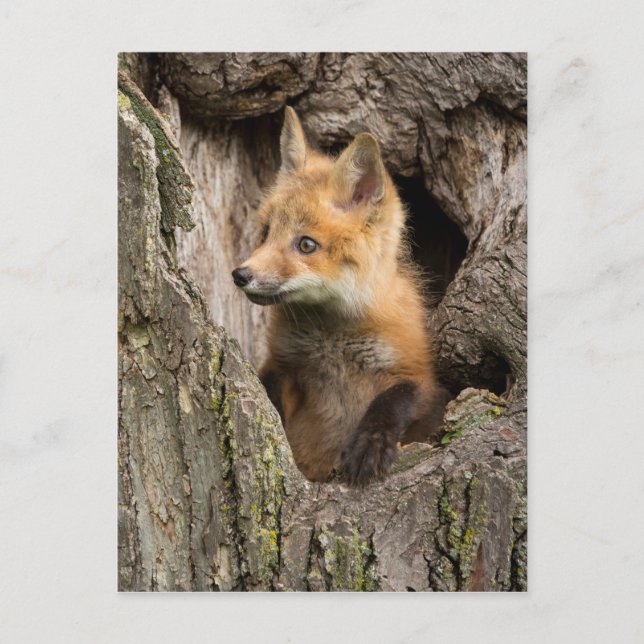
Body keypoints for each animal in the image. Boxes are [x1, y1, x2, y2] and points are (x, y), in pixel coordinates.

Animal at [232, 107, 447, 486]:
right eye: (266, 232)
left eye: (306, 245)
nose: (241, 275)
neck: (333, 341)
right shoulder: (283, 365)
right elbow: (271, 397)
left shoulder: (420, 374)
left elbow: (394, 399)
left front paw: (369, 443)